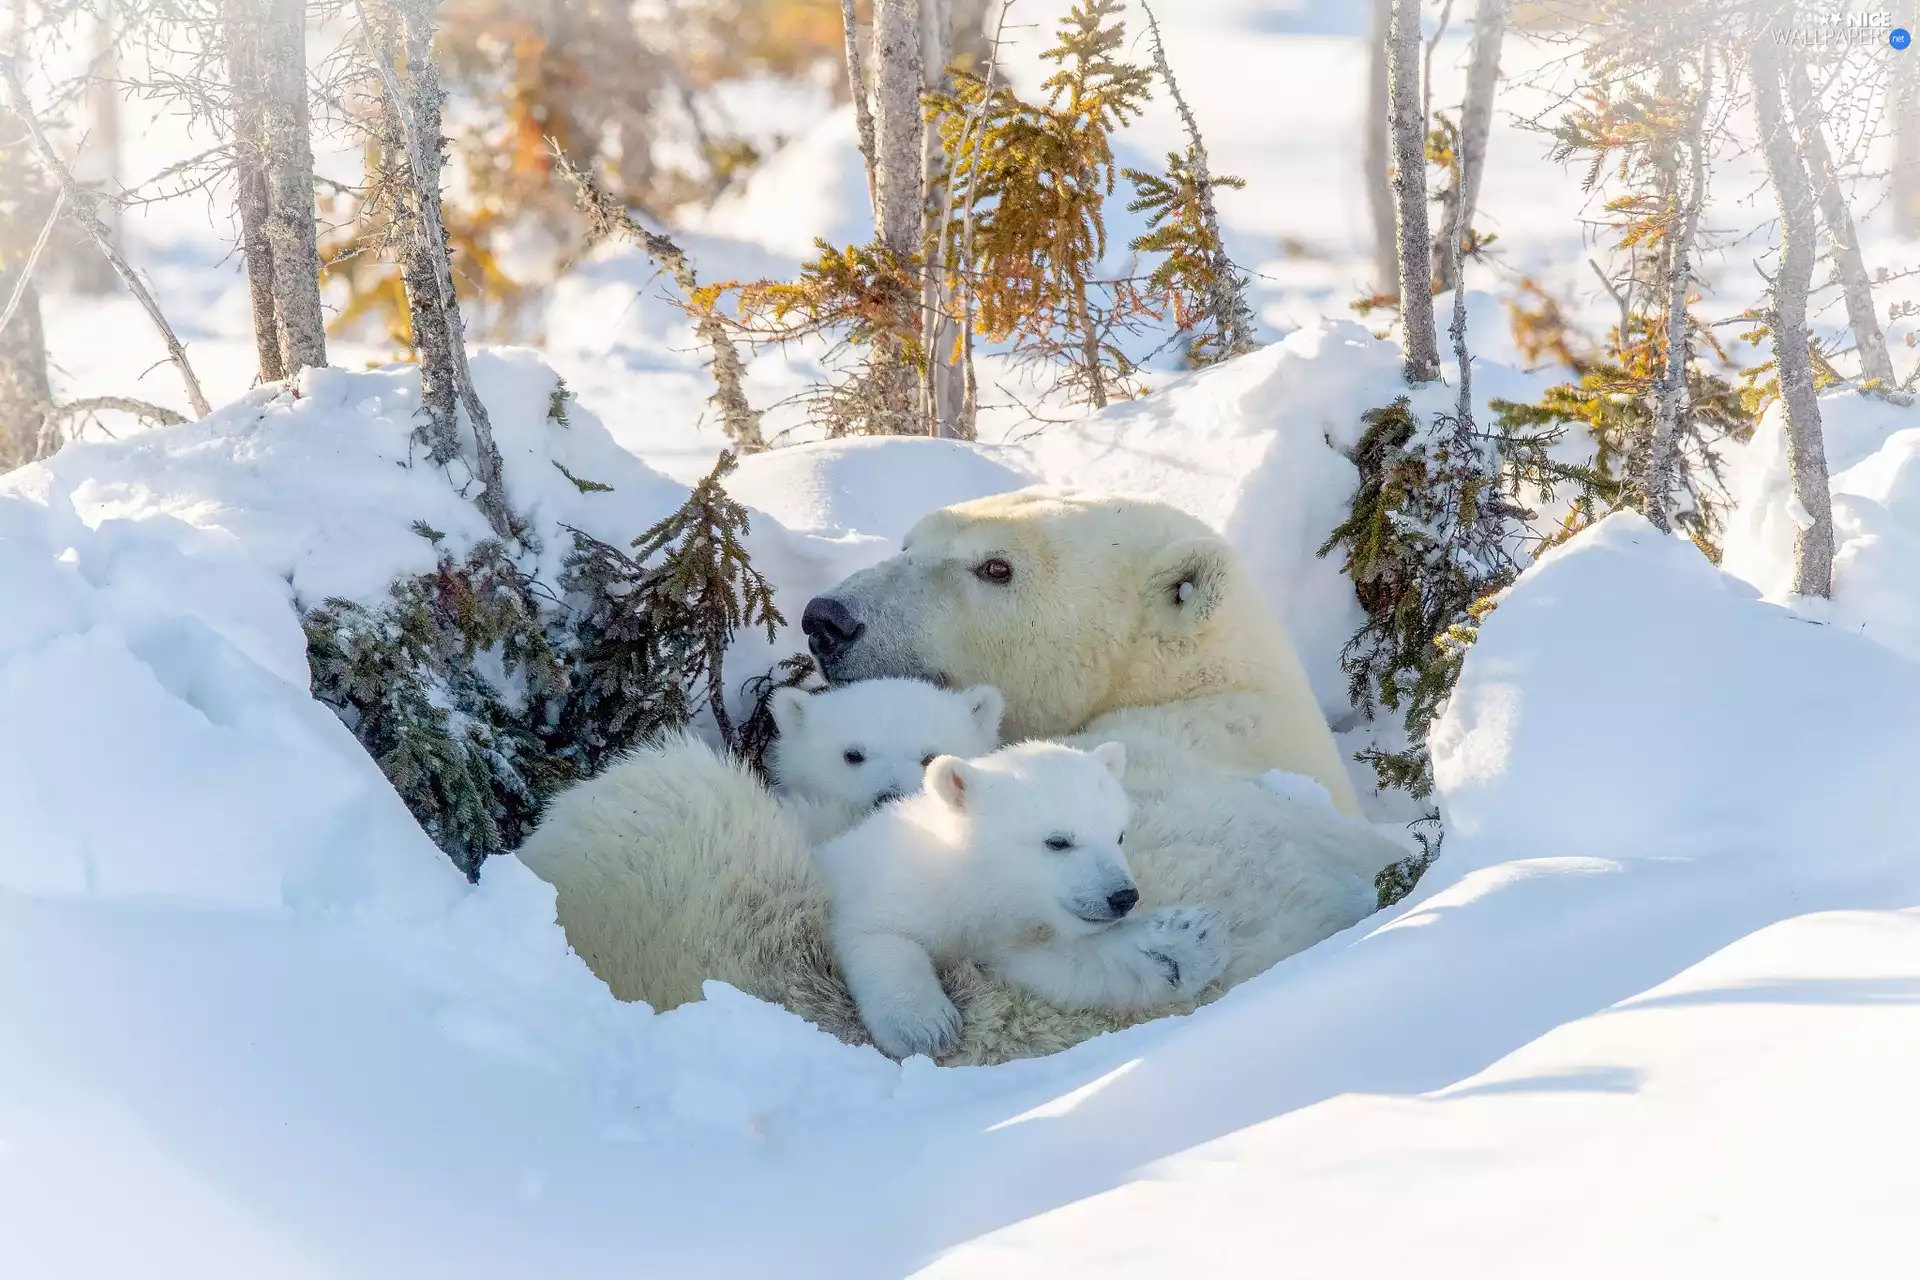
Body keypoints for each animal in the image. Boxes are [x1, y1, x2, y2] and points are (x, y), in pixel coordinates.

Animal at [816, 739, 1229, 1059]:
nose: (1123, 896)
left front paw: (1182, 945)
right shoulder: (898, 882)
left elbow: (1055, 967)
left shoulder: (1011, 936)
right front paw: (925, 1026)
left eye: (1119, 835)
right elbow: (872, 932)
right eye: (1058, 841)